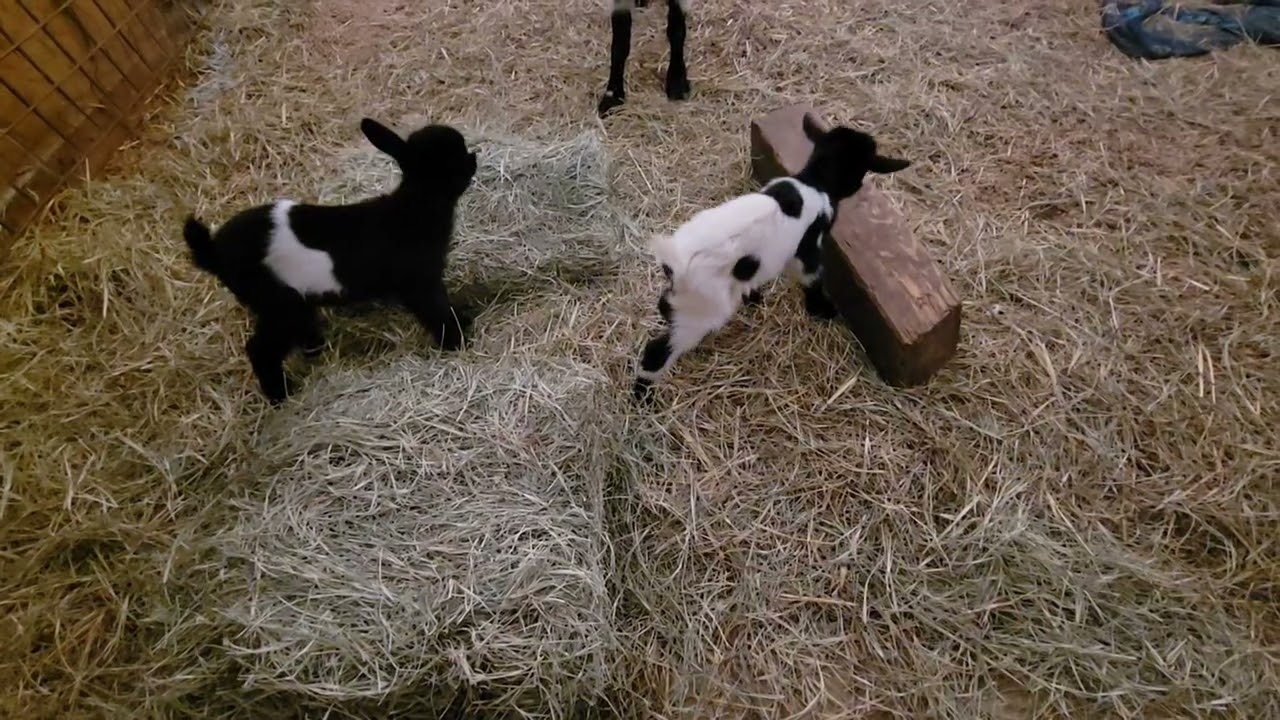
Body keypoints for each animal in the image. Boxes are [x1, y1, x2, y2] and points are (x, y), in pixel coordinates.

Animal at [181, 117, 479, 403]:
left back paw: (314, 347)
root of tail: (213, 250)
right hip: (278, 302)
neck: (415, 205)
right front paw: (457, 341)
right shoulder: (420, 284)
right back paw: (281, 395)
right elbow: (438, 312)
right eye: (454, 156)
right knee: (260, 349)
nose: (474, 158)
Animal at [632, 116, 911, 403]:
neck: (814, 181)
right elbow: (812, 277)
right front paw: (822, 310)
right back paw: (643, 394)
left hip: (683, 300)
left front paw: (754, 296)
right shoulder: (808, 249)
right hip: (702, 309)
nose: (858, 188)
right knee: (658, 350)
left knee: (666, 309)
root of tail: (676, 262)